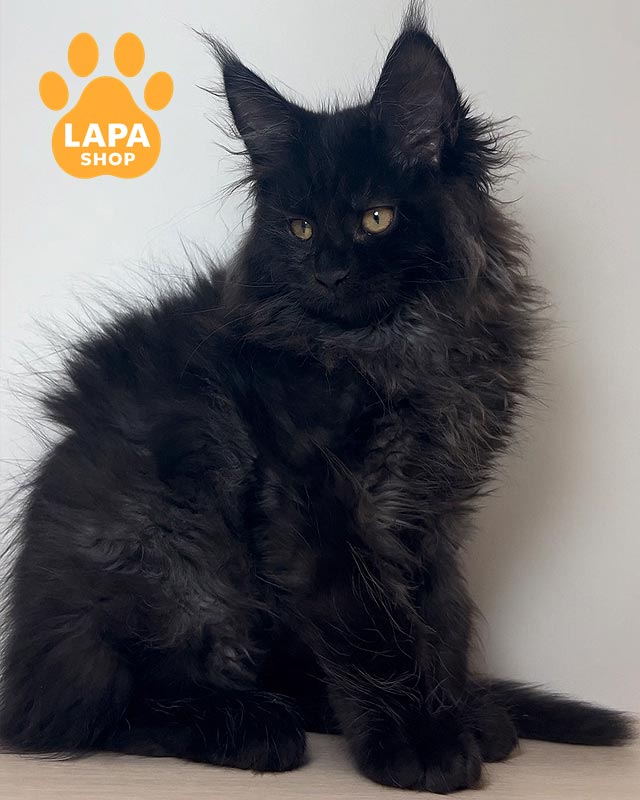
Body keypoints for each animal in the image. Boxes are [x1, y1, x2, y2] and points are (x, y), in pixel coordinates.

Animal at [0, 5, 633, 794]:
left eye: (376, 219)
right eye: (300, 227)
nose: (329, 272)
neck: (398, 349)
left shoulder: (434, 506)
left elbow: (439, 617)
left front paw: (456, 709)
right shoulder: (317, 499)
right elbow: (373, 625)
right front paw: (423, 743)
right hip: (170, 541)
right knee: (95, 704)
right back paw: (248, 724)